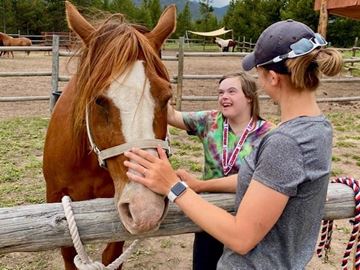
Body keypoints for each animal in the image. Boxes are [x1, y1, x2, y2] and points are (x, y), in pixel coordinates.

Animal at [42, 1, 176, 268]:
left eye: (167, 97)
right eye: (98, 100)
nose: (146, 209)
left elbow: (111, 256)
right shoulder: (56, 203)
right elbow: (68, 254)